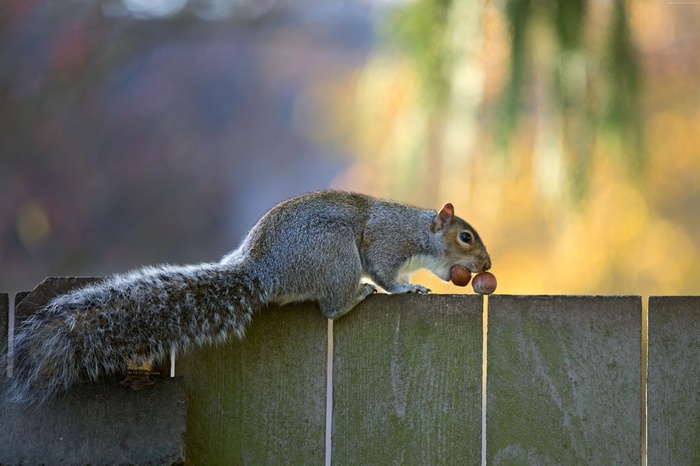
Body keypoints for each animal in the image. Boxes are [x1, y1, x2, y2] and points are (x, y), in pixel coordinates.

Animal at [6, 190, 491, 403]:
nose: (486, 264)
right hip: (334, 253)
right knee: (332, 306)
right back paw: (357, 296)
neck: (417, 231)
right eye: (465, 237)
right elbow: (387, 272)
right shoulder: (385, 244)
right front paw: (408, 287)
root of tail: (262, 271)